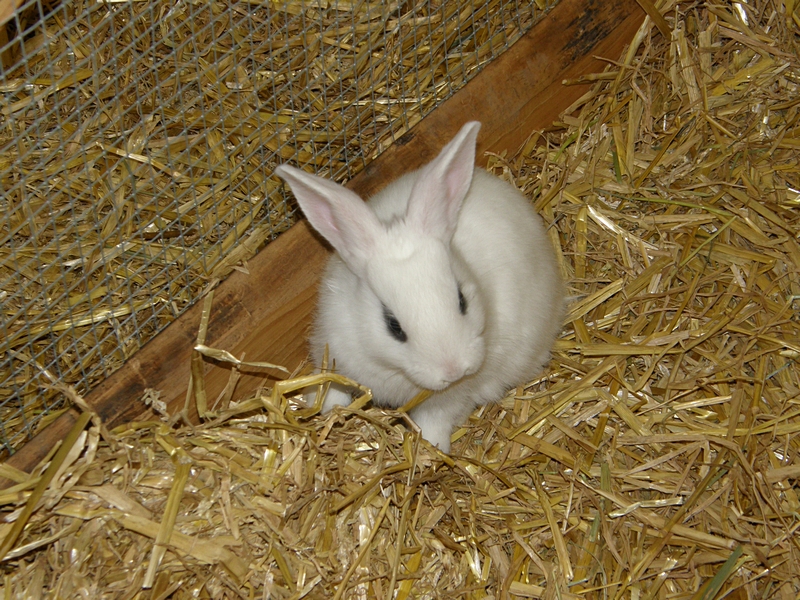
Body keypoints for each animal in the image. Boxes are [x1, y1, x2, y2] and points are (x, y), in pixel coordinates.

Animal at [274, 121, 563, 453]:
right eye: (393, 326)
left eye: (462, 301)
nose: (454, 371)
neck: (395, 369)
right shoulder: (334, 353)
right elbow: (331, 384)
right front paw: (323, 408)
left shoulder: (447, 400)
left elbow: (435, 419)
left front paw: (432, 447)